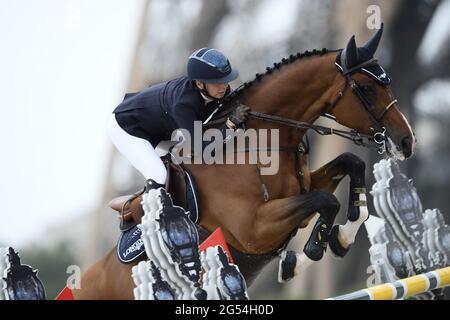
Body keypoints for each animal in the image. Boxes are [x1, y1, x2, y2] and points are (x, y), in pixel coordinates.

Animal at [73, 26, 414, 298]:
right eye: (367, 88)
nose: (406, 142)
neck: (262, 142)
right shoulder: (255, 229)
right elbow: (325, 200)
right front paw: (308, 253)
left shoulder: (300, 190)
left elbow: (351, 163)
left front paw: (342, 237)